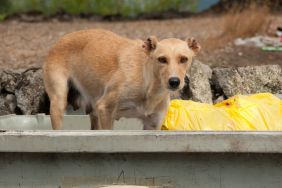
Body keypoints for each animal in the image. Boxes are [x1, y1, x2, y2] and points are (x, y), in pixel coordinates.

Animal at [42, 28, 200, 130]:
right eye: (162, 59)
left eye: (184, 59)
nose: (174, 82)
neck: (147, 83)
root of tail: (59, 41)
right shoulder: (105, 110)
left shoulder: (152, 125)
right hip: (59, 103)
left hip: (93, 114)